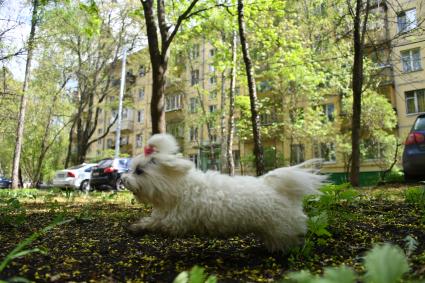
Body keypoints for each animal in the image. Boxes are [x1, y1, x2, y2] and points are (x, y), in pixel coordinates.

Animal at [121, 134, 324, 252]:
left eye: (139, 171)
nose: (122, 179)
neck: (178, 186)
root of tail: (279, 188)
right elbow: (150, 220)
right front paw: (137, 226)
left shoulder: (176, 220)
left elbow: (157, 223)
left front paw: (138, 227)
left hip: (281, 229)